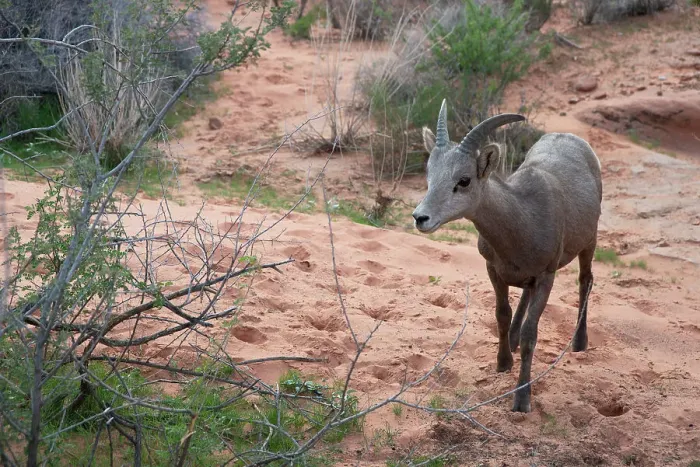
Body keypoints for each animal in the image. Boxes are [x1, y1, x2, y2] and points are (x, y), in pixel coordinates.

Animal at [412, 100, 602, 413]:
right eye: (430, 175)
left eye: (464, 180)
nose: (420, 217)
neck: (524, 218)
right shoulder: (494, 269)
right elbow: (502, 315)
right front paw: (503, 363)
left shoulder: (546, 276)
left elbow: (530, 334)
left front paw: (521, 400)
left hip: (590, 241)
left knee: (585, 279)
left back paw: (579, 343)